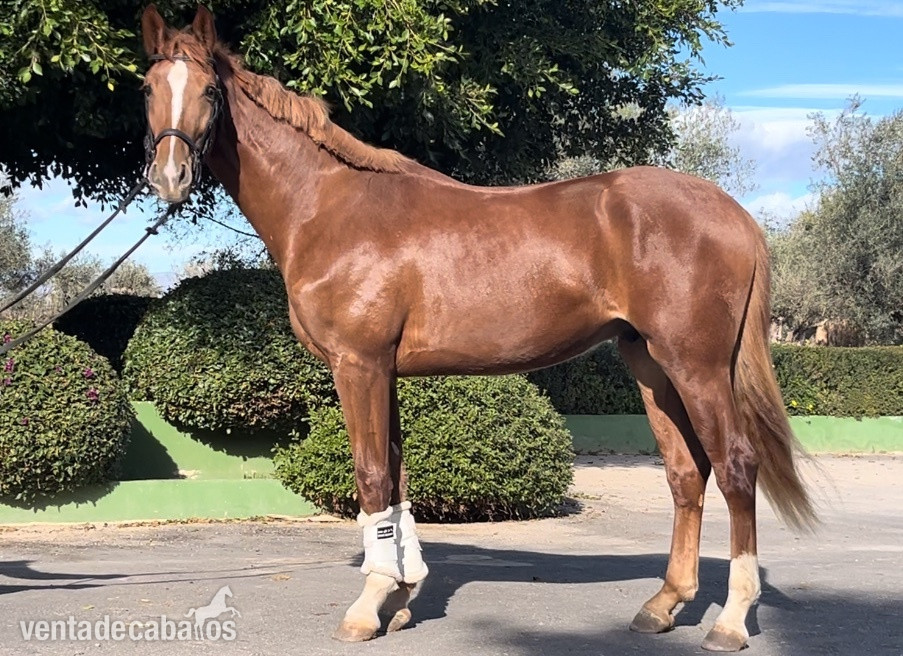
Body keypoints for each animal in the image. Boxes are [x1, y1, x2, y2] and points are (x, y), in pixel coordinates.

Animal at [139, 5, 815, 651]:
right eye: (148, 86)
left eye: (208, 89)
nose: (169, 176)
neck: (329, 206)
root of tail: (732, 212)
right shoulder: (385, 371)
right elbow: (396, 476)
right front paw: (402, 597)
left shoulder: (358, 364)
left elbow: (371, 475)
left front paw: (367, 605)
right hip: (650, 365)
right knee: (685, 473)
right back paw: (663, 605)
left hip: (697, 365)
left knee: (735, 467)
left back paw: (730, 621)